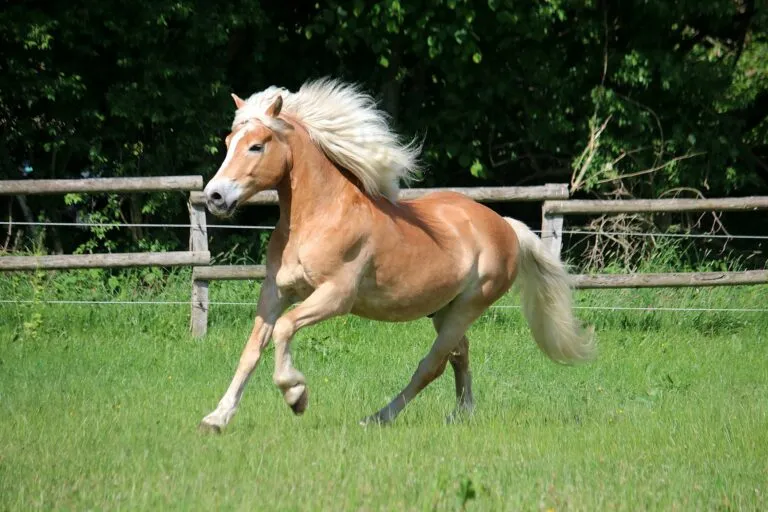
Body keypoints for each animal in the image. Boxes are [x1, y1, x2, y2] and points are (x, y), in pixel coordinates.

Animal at [199, 78, 595, 432]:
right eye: (229, 142)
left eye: (256, 146)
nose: (214, 196)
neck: (320, 217)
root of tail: (504, 226)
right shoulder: (275, 291)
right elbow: (252, 350)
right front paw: (216, 419)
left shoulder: (335, 297)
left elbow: (284, 328)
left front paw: (296, 395)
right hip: (444, 309)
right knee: (459, 355)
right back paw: (461, 414)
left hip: (469, 306)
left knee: (432, 365)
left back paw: (377, 418)